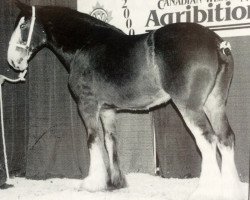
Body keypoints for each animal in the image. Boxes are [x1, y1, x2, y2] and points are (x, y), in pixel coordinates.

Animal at [7, 0, 244, 199]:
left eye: (23, 25)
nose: (13, 61)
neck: (86, 44)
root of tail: (217, 43)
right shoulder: (107, 110)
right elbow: (110, 141)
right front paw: (115, 183)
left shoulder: (87, 105)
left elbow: (93, 140)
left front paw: (92, 183)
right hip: (214, 103)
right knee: (225, 138)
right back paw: (231, 189)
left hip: (190, 106)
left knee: (207, 140)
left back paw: (205, 190)